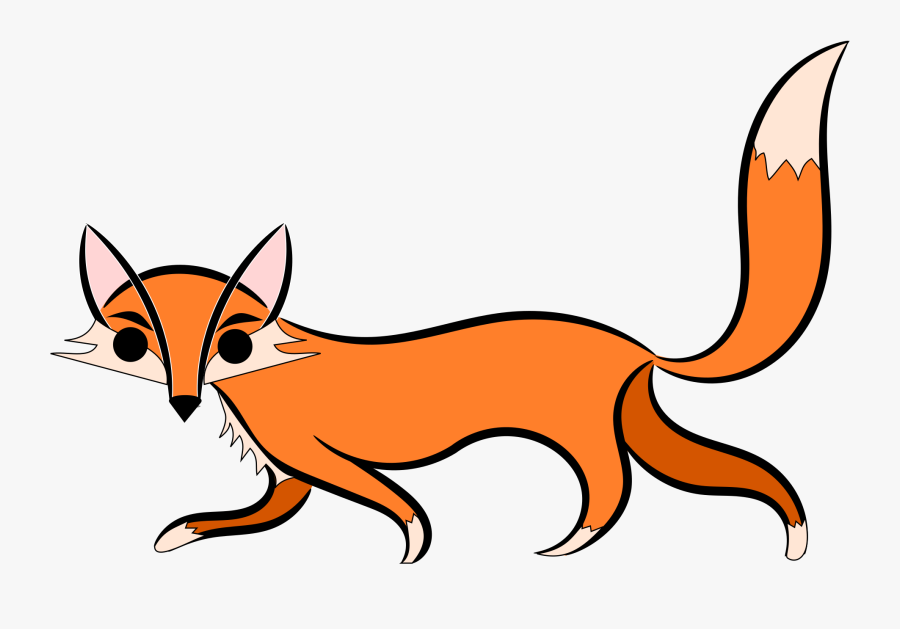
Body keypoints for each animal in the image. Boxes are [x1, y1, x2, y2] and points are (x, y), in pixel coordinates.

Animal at [55, 43, 845, 564]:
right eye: (132, 345)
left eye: (233, 343)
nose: (184, 402)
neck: (266, 372)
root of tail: (638, 349)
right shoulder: (288, 474)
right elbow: (254, 513)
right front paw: (182, 531)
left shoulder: (312, 452)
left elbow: (392, 502)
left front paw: (413, 541)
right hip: (640, 424)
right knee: (732, 472)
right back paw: (792, 533)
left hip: (587, 434)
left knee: (614, 488)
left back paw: (569, 543)